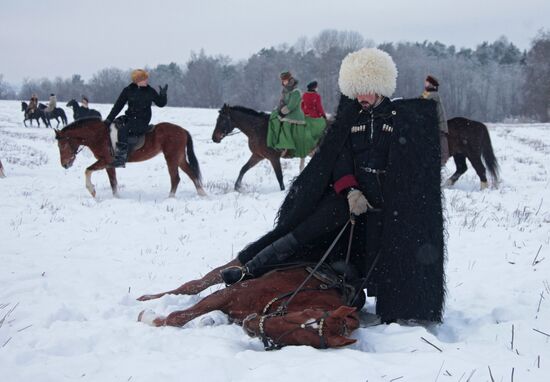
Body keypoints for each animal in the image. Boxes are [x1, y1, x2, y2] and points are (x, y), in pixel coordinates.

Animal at [54, 118, 207, 197]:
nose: (65, 165)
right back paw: (202, 194)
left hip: (171, 158)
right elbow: (113, 183)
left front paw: (92, 190)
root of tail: (183, 130)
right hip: (179, 158)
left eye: (62, 145)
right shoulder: (110, 164)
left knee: (175, 178)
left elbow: (87, 170)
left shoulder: (106, 161)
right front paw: (116, 198)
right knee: (192, 174)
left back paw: (170, 198)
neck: (99, 136)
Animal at [138, 266, 362, 350]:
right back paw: (146, 298)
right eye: (302, 315)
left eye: (296, 340)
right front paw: (148, 317)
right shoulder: (230, 293)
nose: (250, 323)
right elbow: (178, 317)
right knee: (192, 286)